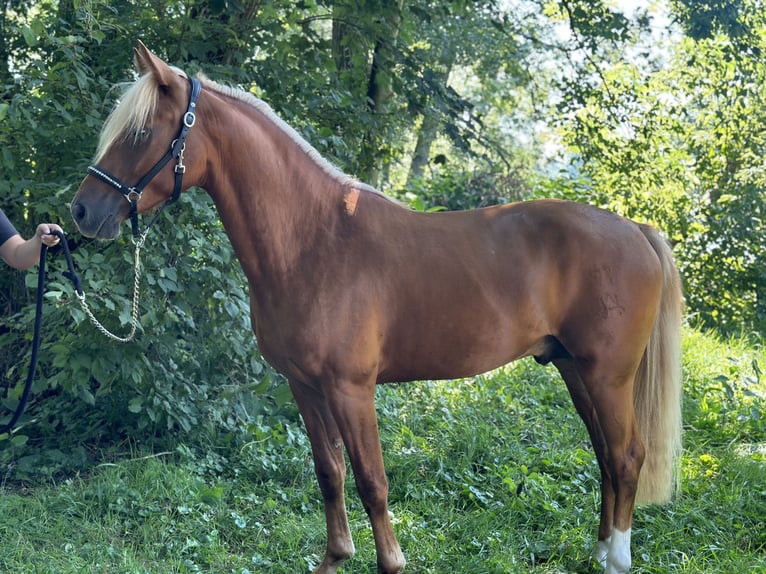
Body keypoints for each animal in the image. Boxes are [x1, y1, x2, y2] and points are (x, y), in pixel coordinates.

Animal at [72, 42, 684, 572]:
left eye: (142, 132)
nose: (81, 212)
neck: (313, 242)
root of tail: (635, 228)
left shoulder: (352, 389)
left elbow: (372, 480)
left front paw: (390, 562)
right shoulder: (305, 386)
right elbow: (329, 474)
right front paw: (335, 558)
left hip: (607, 376)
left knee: (626, 456)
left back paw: (617, 560)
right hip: (573, 369)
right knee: (604, 455)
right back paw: (600, 553)